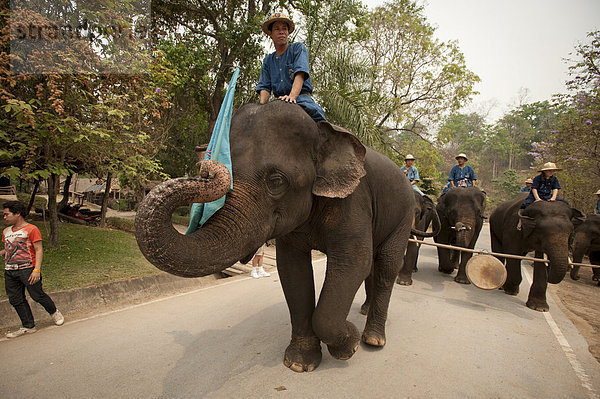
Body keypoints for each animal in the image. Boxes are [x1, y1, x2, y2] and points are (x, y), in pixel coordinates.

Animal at [135, 101, 432, 376]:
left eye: (276, 181)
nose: (205, 166)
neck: (321, 132)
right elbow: (292, 270)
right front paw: (300, 363)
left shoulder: (353, 201)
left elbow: (353, 262)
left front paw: (350, 344)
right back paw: (363, 313)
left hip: (403, 217)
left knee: (386, 266)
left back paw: (373, 339)